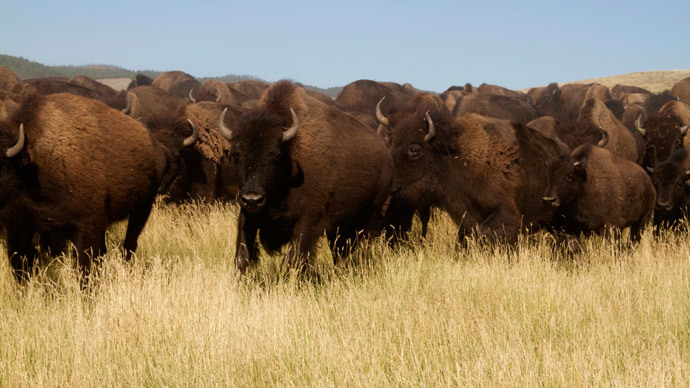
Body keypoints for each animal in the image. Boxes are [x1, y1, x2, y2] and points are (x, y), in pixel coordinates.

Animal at [1, 94, 169, 282]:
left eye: (0, 165)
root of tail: (158, 148)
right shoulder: (19, 228)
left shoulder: (87, 226)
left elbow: (85, 265)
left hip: (142, 209)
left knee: (129, 243)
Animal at [220, 80, 392, 272]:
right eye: (236, 154)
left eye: (276, 155)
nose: (252, 198)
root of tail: (386, 155)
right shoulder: (248, 216)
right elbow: (242, 255)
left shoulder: (307, 221)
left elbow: (292, 258)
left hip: (369, 215)